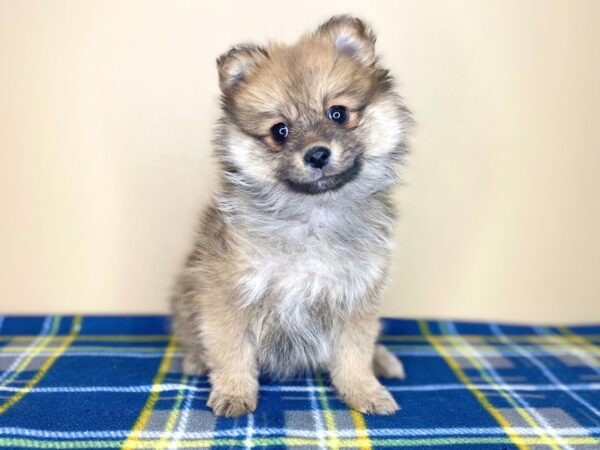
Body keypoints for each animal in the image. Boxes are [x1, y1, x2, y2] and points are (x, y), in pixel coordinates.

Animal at [170, 15, 412, 416]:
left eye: (338, 113)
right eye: (279, 131)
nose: (317, 154)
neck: (313, 213)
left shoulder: (356, 297)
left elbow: (354, 354)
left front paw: (365, 392)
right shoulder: (228, 294)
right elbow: (231, 350)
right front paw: (234, 393)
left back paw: (383, 360)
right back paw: (196, 360)